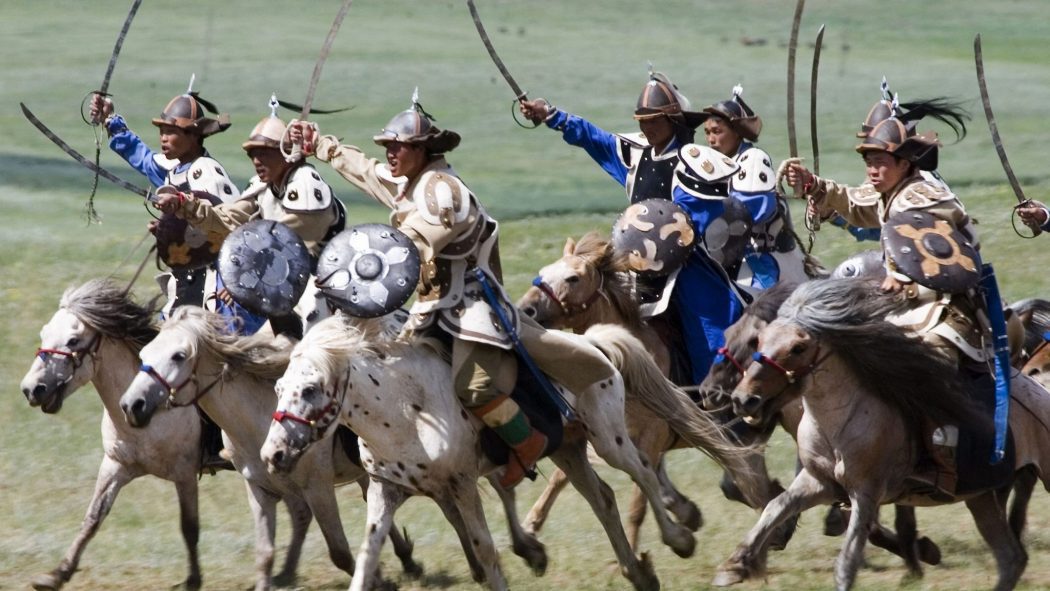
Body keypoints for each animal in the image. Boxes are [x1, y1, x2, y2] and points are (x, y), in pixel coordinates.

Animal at [117, 310, 419, 591]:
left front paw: (377, 580)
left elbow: (340, 552)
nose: (132, 405)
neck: (259, 421)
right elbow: (265, 555)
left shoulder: (318, 489)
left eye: (179, 356)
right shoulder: (260, 489)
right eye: (144, 353)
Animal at [258, 312, 760, 591]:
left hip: (609, 439)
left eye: (310, 389)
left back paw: (679, 538)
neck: (404, 409)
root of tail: (591, 341)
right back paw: (637, 573)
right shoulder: (387, 488)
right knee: (604, 499)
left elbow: (484, 547)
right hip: (569, 450)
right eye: (278, 389)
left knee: (644, 474)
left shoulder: (462, 483)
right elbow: (367, 555)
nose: (273, 455)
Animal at [713, 279, 1050, 591]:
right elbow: (775, 507)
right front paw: (735, 565)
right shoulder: (819, 483)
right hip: (980, 496)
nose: (743, 399)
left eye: (798, 348)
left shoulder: (866, 493)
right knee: (1011, 558)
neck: (839, 421)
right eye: (760, 341)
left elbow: (848, 560)